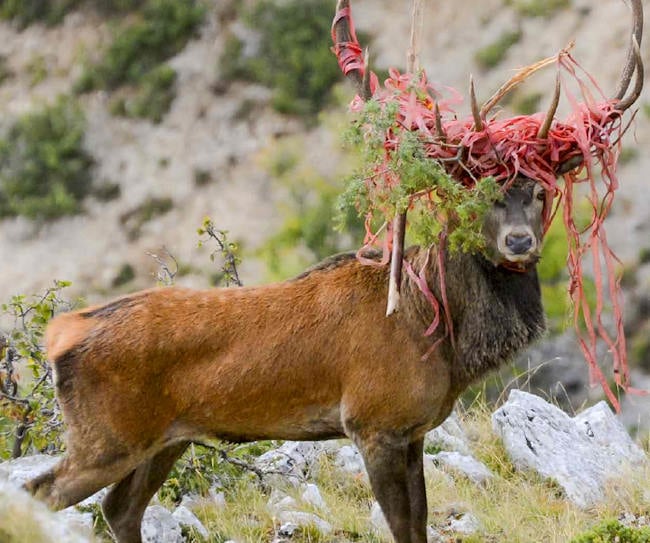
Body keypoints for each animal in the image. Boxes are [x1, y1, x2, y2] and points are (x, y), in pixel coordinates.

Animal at [22, 1, 640, 543]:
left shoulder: (413, 431)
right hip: (105, 435)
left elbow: (419, 522)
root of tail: (61, 333)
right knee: (39, 495)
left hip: (163, 438)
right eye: (477, 196)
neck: (444, 338)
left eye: (539, 192)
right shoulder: (373, 420)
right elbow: (401, 525)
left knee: (118, 510)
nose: (518, 241)